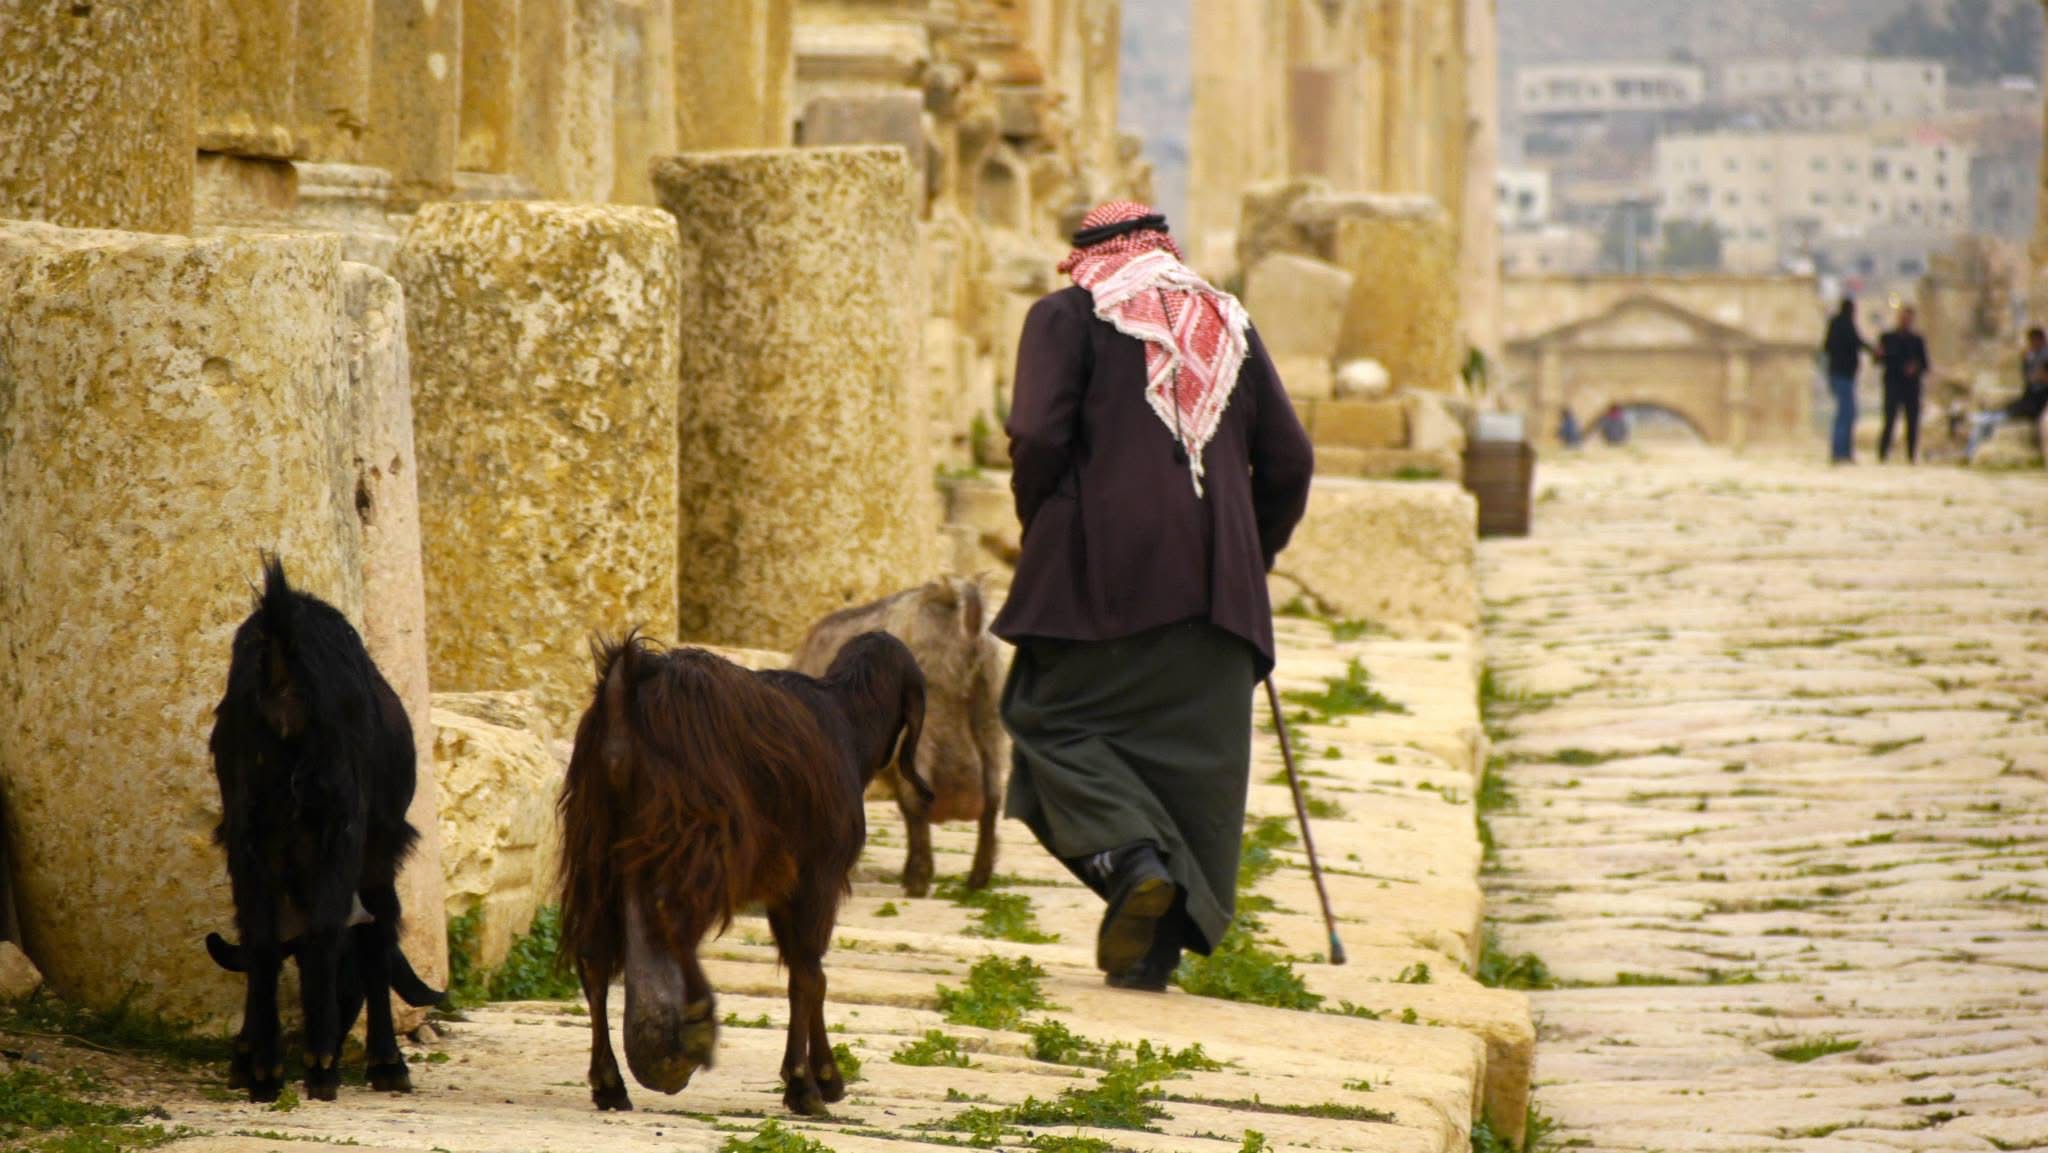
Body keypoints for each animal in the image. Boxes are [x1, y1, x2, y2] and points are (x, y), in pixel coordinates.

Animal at [209, 559, 435, 1102]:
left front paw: (243, 1055)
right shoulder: (376, 853)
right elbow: (377, 932)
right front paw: (388, 1063)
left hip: (248, 825)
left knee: (261, 936)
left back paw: (265, 1071)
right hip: (340, 825)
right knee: (324, 930)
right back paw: (320, 1066)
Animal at [558, 631, 927, 1116]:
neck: (844, 721)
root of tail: (628, 683)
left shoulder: (784, 887)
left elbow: (807, 971)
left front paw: (819, 1076)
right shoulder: (817, 877)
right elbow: (809, 975)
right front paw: (807, 1084)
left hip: (595, 836)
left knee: (594, 955)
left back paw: (610, 1082)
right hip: (698, 830)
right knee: (670, 913)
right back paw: (694, 1025)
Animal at [790, 578, 1003, 896]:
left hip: (923, 734)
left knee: (920, 801)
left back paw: (918, 881)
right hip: (991, 721)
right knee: (992, 799)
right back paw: (976, 880)